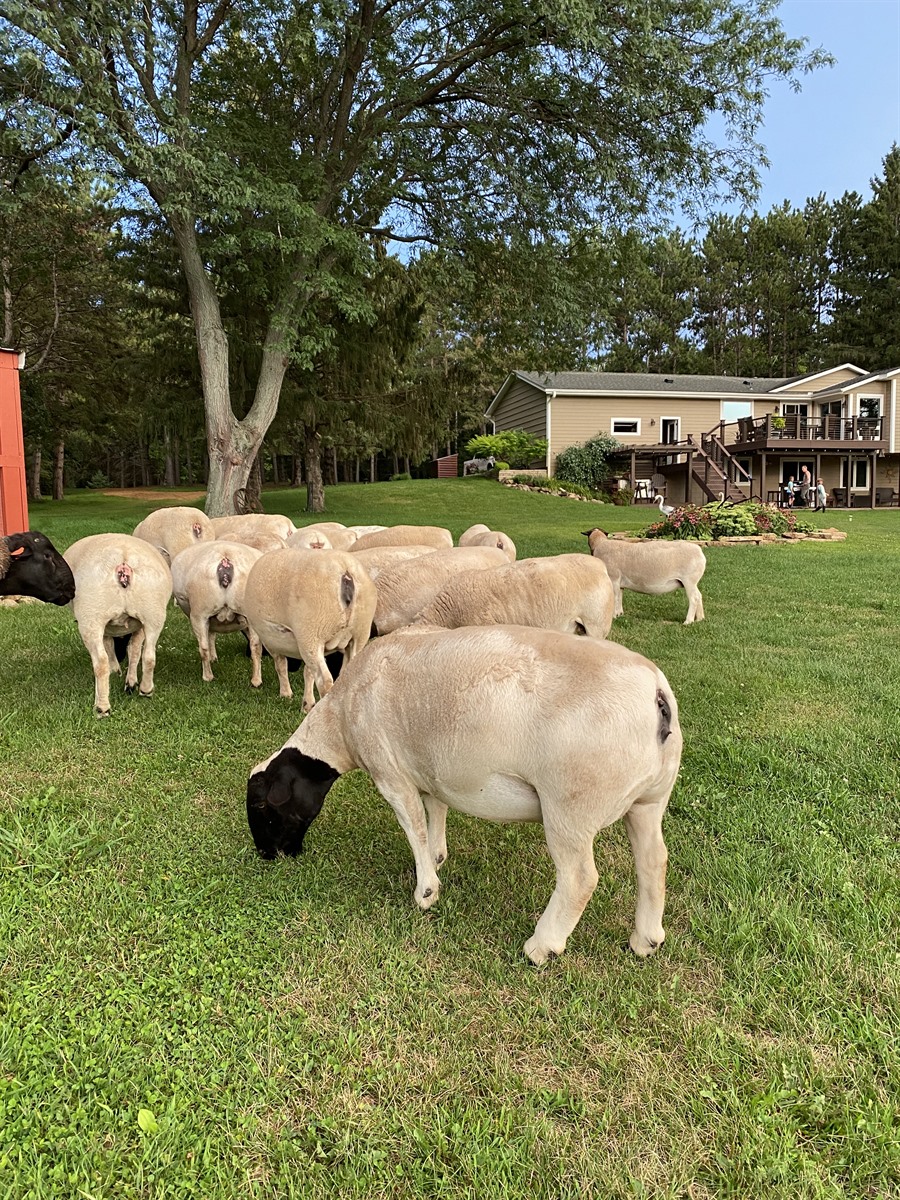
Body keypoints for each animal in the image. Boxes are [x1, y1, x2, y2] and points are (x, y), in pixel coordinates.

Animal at [63, 534, 172, 716]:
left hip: (91, 616)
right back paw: (146, 690)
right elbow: (134, 650)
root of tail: (123, 564)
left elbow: (109, 646)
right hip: (153, 613)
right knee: (149, 656)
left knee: (100, 662)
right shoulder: (139, 625)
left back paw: (102, 707)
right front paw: (130, 681)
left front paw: (116, 670)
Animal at [170, 541, 264, 685]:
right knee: (256, 646)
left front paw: (212, 658)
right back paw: (256, 680)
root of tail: (225, 560)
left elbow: (210, 636)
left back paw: (208, 677)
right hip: (250, 613)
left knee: (203, 647)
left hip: (199, 613)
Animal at [243, 548, 376, 712]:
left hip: (313, 631)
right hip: (359, 634)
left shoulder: (270, 637)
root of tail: (345, 572)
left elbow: (278, 663)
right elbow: (307, 672)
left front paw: (284, 693)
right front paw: (306, 701)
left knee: (324, 681)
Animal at [246, 625, 682, 964]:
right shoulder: (431, 770)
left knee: (580, 878)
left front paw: (426, 892)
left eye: (265, 807)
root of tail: (657, 694)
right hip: (648, 799)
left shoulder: (390, 773)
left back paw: (541, 947)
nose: (267, 855)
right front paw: (437, 857)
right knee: (654, 860)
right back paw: (646, 941)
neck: (340, 722)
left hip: (570, 805)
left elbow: (414, 825)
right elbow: (435, 811)